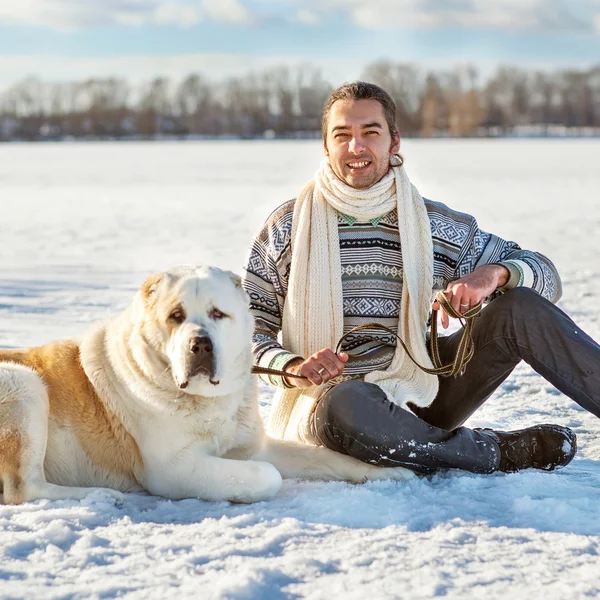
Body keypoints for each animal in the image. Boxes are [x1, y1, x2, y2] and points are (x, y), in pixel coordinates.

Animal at [0, 264, 412, 504]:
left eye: (218, 313)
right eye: (175, 316)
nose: (200, 343)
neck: (207, 401)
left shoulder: (254, 447)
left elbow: (327, 458)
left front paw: (390, 473)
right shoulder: (174, 470)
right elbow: (269, 476)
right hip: (23, 385)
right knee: (24, 489)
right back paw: (98, 495)